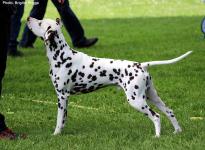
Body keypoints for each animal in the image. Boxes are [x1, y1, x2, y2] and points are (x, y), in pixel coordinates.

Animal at [27, 16, 192, 137]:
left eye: (40, 22)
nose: (28, 18)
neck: (61, 56)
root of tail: (141, 65)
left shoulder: (61, 96)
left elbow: (58, 119)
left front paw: (55, 134)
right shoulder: (65, 98)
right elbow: (63, 120)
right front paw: (61, 132)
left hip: (136, 100)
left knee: (156, 116)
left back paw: (157, 136)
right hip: (152, 96)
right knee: (169, 111)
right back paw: (177, 131)